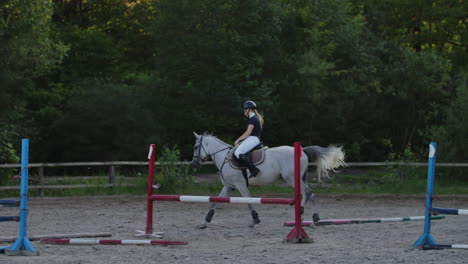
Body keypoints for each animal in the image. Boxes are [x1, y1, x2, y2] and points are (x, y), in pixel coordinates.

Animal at [190, 133, 348, 228]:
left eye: (196, 146)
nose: (193, 164)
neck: (224, 157)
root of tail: (301, 150)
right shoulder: (229, 186)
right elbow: (215, 202)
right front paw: (205, 221)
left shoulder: (240, 185)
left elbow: (248, 201)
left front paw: (255, 220)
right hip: (299, 178)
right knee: (310, 193)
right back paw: (314, 217)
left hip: (291, 178)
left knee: (308, 192)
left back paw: (305, 212)